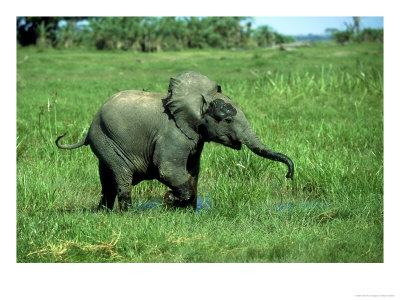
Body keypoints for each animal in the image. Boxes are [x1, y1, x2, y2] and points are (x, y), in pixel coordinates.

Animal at [56, 71, 294, 211]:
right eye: (227, 120)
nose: (288, 176)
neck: (198, 100)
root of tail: (89, 129)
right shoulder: (173, 134)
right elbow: (168, 169)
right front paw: (169, 200)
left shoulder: (195, 138)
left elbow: (193, 172)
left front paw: (187, 212)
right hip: (106, 139)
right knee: (122, 176)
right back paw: (129, 215)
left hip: (106, 143)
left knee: (107, 180)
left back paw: (102, 213)